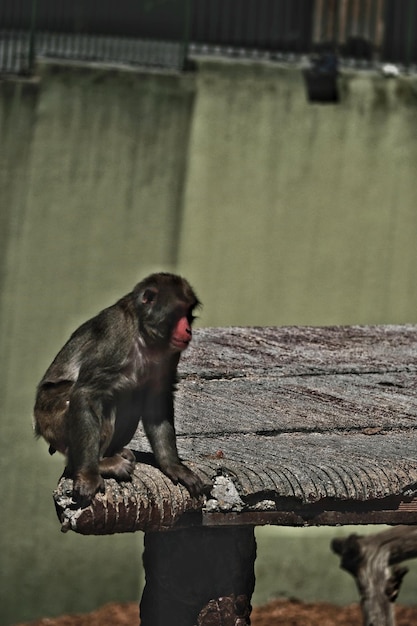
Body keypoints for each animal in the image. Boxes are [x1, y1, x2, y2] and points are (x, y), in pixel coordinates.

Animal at [33, 272, 203, 502]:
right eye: (177, 313)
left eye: (188, 314)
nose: (188, 330)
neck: (143, 334)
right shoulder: (114, 338)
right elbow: (86, 394)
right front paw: (88, 475)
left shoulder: (170, 354)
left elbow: (156, 400)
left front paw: (173, 465)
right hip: (51, 418)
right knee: (104, 399)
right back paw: (97, 464)